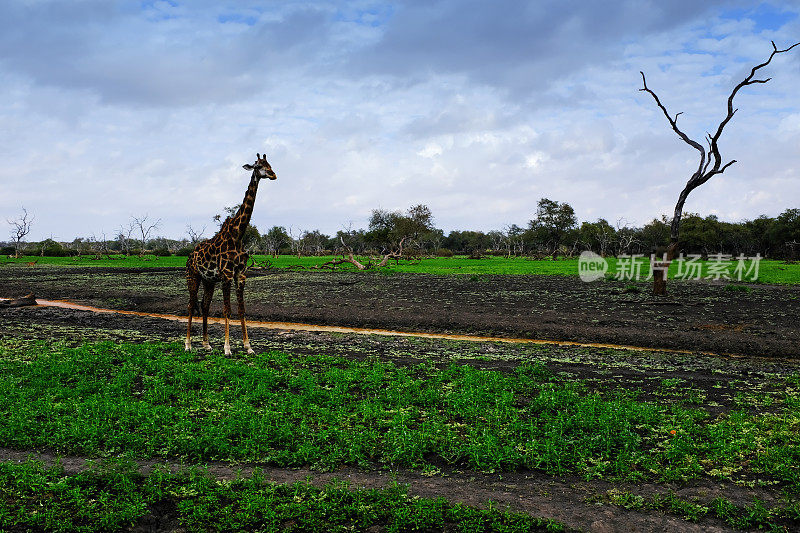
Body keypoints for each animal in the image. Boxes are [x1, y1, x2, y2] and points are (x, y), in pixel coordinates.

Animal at [186, 152, 276, 356]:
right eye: (258, 166)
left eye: (269, 163)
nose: (273, 175)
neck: (238, 234)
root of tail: (189, 256)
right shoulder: (226, 274)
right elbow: (227, 310)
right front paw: (227, 348)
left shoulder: (240, 274)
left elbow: (241, 310)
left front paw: (248, 346)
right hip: (193, 276)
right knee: (190, 305)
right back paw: (187, 344)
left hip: (209, 280)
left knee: (204, 306)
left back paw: (206, 344)